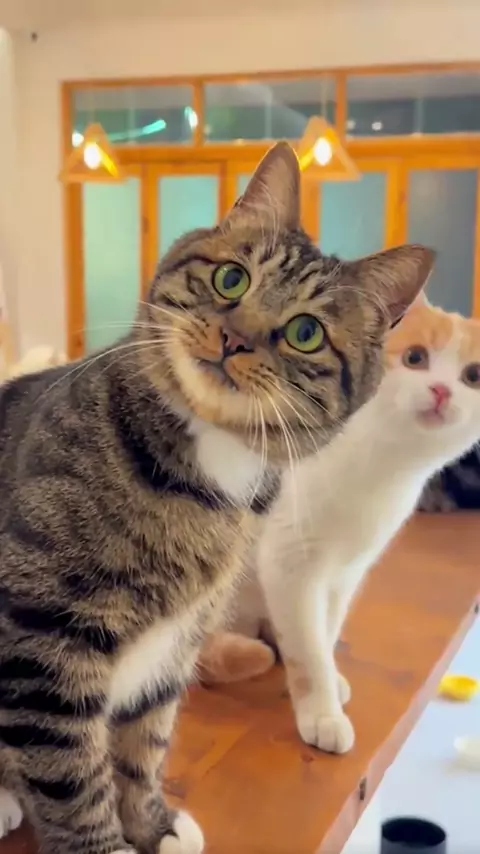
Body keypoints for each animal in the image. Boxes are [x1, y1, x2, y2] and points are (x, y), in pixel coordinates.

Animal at [0, 139, 432, 854]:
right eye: (232, 279)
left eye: (306, 331)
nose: (236, 337)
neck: (203, 474)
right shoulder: (42, 639)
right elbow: (73, 780)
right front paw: (104, 842)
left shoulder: (176, 643)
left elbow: (143, 745)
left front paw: (151, 822)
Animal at [198, 296, 480, 756]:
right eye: (415, 358)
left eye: (472, 376)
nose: (442, 391)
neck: (378, 469)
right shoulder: (289, 563)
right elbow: (309, 648)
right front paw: (322, 712)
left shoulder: (345, 573)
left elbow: (325, 632)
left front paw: (330, 679)